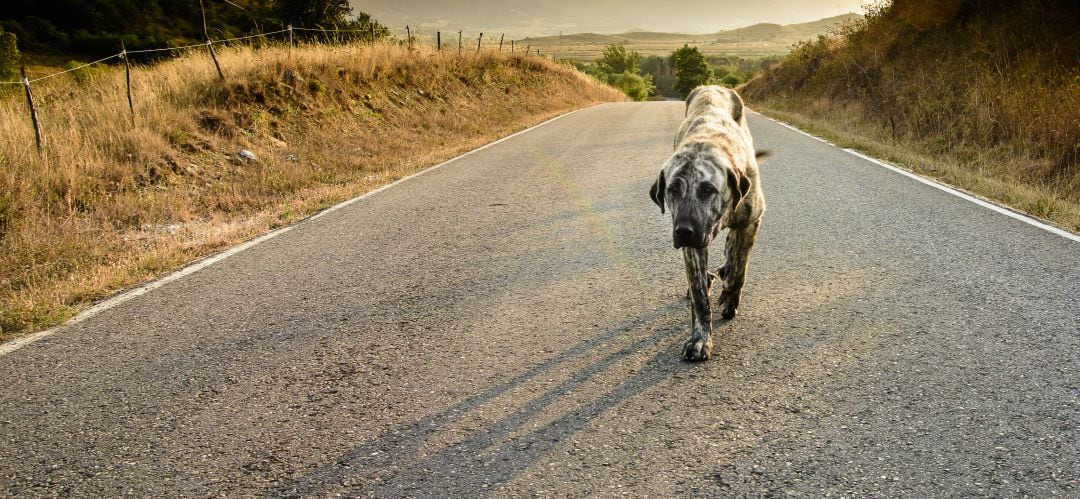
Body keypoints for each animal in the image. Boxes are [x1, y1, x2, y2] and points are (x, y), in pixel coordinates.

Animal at [648, 86, 768, 362]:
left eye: (707, 189)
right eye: (672, 189)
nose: (683, 231)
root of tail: (714, 87)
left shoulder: (751, 221)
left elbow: (739, 269)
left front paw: (730, 297)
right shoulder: (692, 247)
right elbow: (699, 294)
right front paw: (700, 338)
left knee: (733, 250)